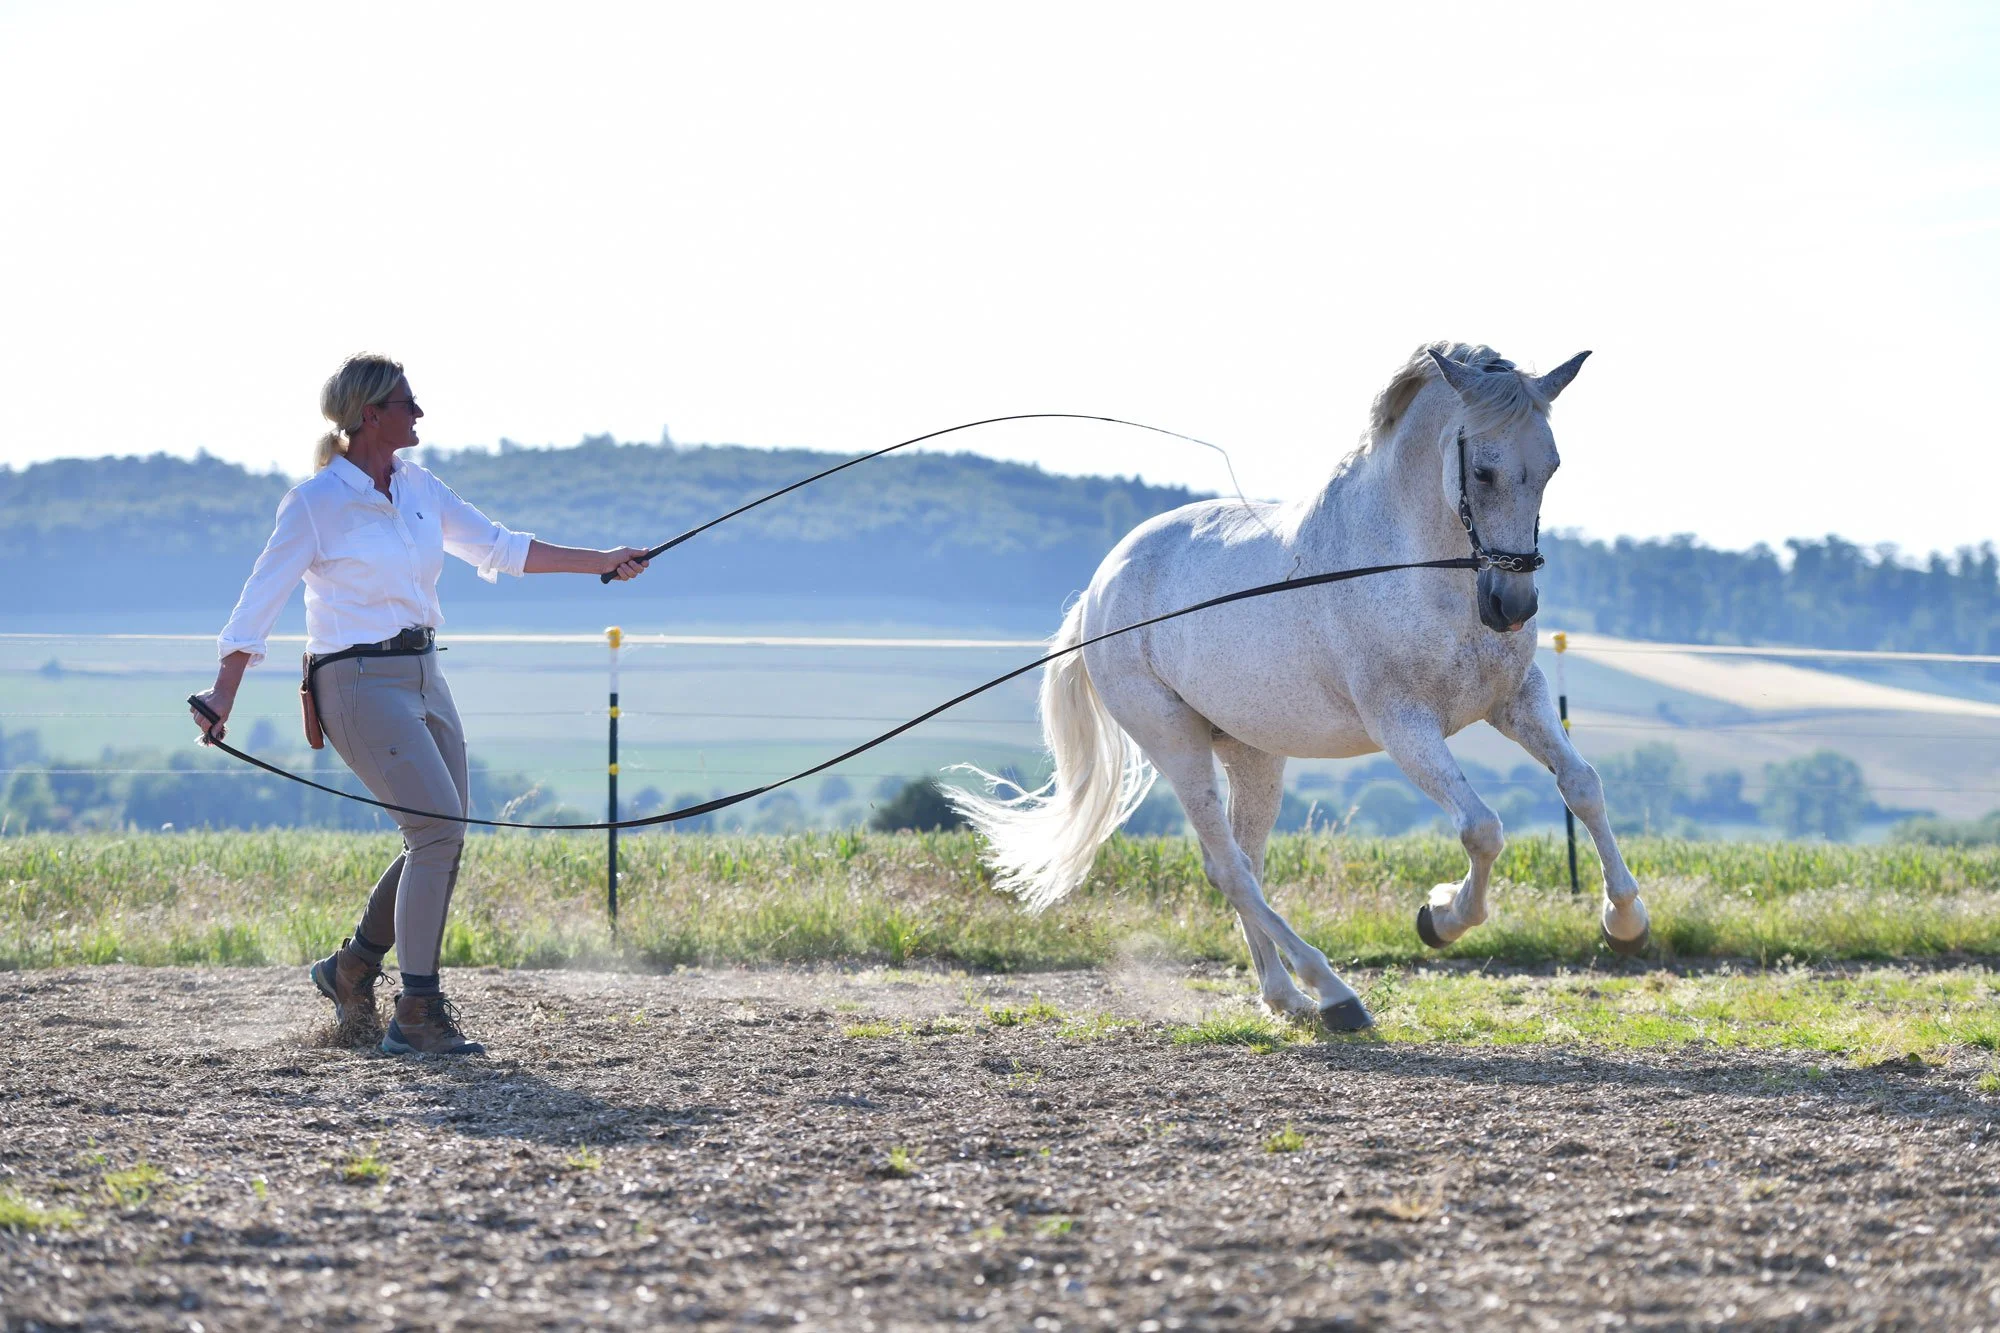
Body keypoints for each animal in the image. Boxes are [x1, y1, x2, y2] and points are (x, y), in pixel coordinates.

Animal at [948, 341, 1650, 1030]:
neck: (1417, 565)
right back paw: (1334, 994)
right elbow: (1482, 828)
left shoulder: (1516, 699)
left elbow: (1582, 785)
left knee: (1244, 863)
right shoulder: (1403, 725)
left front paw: (1625, 923)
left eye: (1552, 467)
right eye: (1483, 472)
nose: (1513, 606)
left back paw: (1287, 997)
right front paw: (1441, 919)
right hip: (1175, 743)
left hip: (1252, 753)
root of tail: (1099, 587)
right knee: (1229, 869)